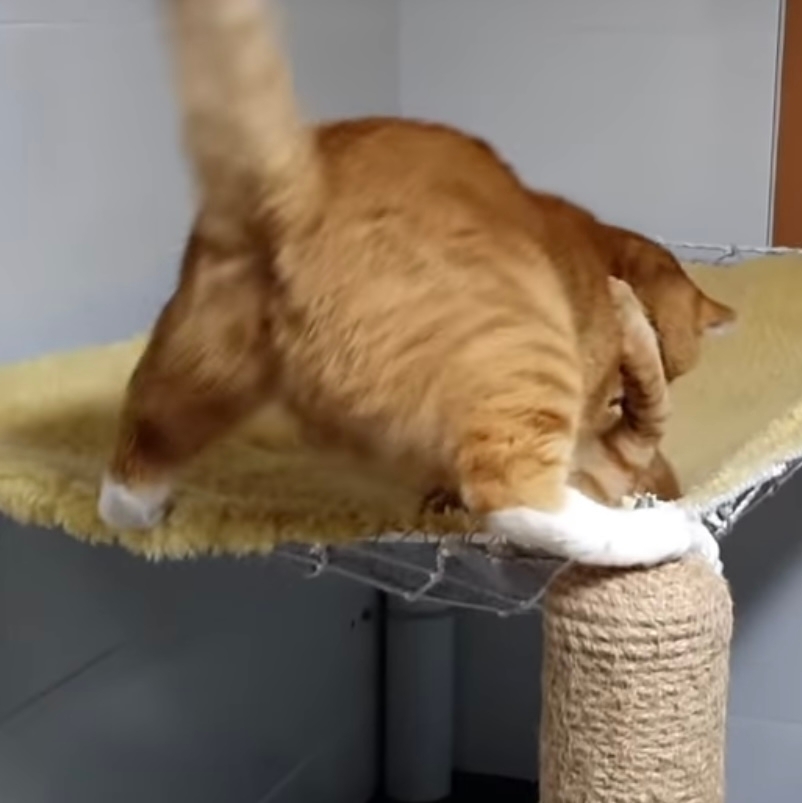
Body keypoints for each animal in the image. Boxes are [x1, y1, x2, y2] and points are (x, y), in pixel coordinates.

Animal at [99, 0, 733, 569]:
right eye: (617, 397)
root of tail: (300, 195)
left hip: (191, 369)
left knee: (135, 459)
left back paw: (142, 510)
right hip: (526, 356)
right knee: (521, 496)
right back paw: (673, 533)